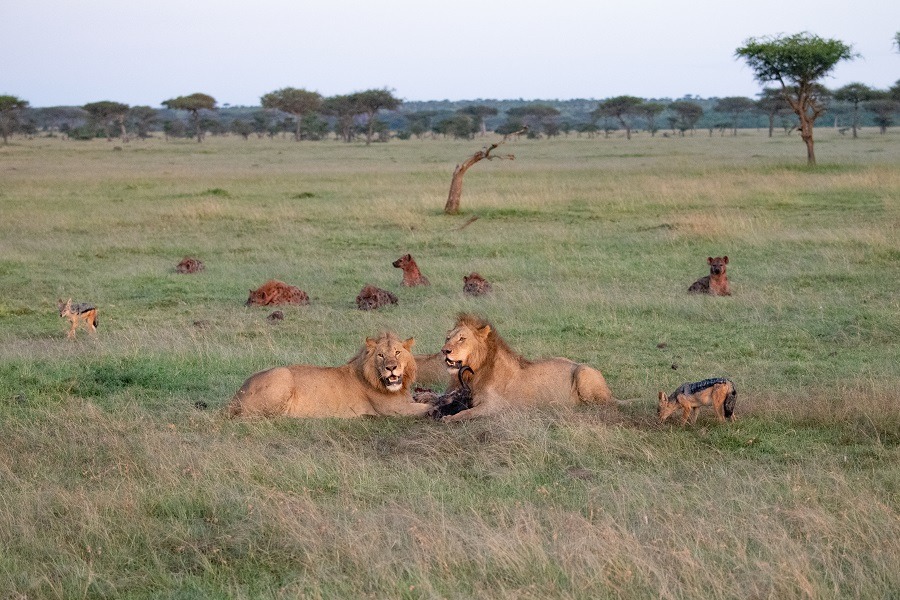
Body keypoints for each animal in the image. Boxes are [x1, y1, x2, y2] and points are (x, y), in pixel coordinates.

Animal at [229, 330, 432, 420]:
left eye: (397, 352)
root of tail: (236, 396)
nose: (391, 368)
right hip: (282, 374)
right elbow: (426, 407)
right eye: (381, 355)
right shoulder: (395, 410)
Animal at [436, 314, 612, 422]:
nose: (444, 351)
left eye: (462, 339)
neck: (474, 371)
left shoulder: (495, 406)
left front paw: (449, 418)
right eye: (447, 338)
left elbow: (467, 412)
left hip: (583, 372)